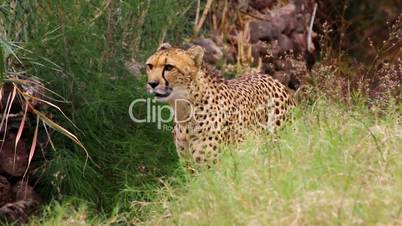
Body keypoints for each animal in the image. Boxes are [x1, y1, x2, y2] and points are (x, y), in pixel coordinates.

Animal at [144, 43, 296, 165]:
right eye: (150, 66)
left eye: (169, 67)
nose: (152, 83)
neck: (184, 109)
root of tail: (269, 77)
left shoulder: (212, 165)